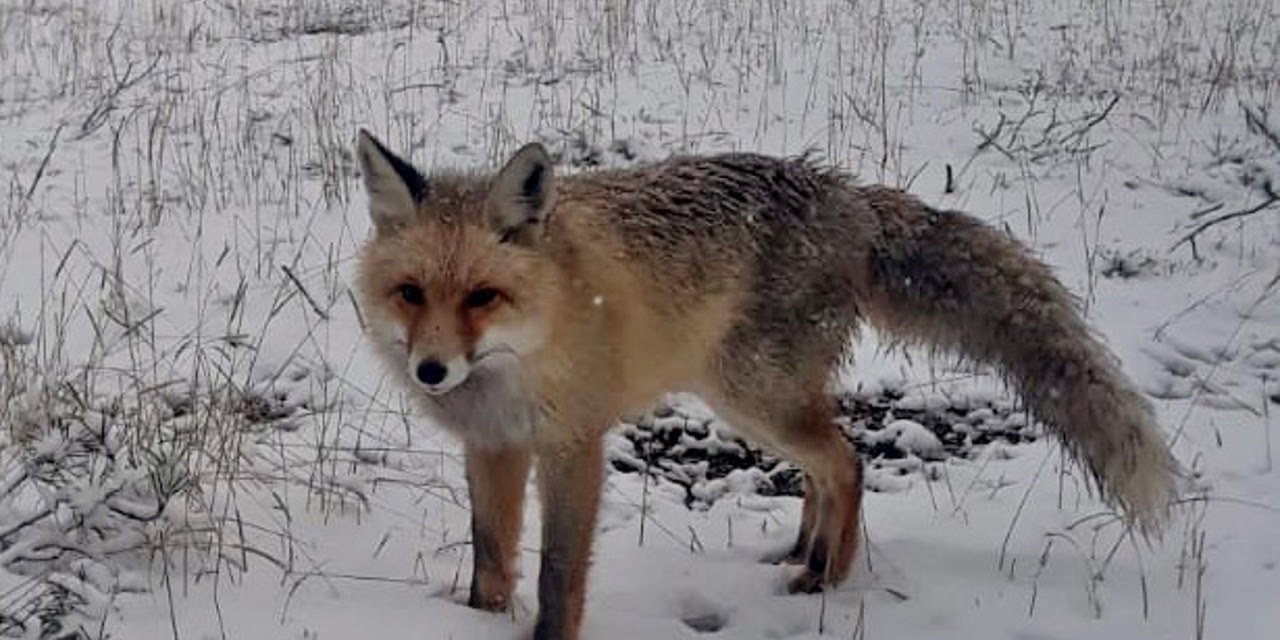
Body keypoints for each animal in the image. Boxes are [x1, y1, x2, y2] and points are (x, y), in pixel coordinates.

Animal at [353, 129, 1177, 640]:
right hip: (760, 402)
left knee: (848, 459)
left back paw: (828, 576)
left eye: (483, 297)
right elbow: (491, 559)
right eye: (411, 294)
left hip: (754, 396)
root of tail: (850, 197)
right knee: (826, 466)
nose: (432, 371)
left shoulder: (572, 445)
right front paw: (479, 620)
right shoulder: (493, 447)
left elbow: (558, 574)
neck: (521, 355)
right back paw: (804, 550)